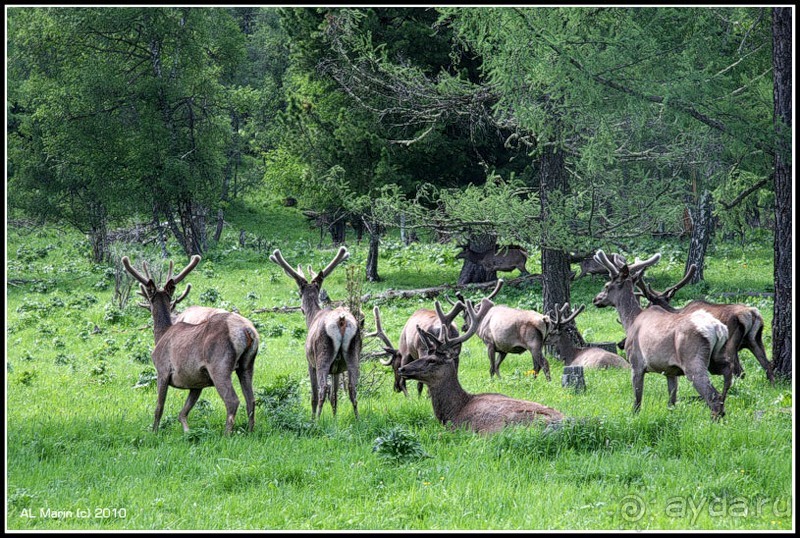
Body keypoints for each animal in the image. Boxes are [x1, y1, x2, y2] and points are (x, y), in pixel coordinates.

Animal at [122, 253, 260, 434]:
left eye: (149, 301)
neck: (161, 335)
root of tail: (247, 331)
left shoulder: (162, 370)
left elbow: (159, 407)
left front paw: (154, 432)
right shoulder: (196, 381)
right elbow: (183, 413)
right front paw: (188, 432)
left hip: (219, 364)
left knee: (232, 401)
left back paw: (227, 434)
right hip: (247, 364)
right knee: (251, 400)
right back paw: (250, 432)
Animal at [268, 247, 360, 418]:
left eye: (299, 293)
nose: (301, 308)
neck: (312, 317)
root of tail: (341, 321)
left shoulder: (309, 362)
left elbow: (314, 395)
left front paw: (312, 419)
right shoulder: (337, 369)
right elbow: (335, 397)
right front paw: (335, 419)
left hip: (322, 355)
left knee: (323, 389)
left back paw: (317, 419)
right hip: (353, 353)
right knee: (352, 389)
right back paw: (358, 419)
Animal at [592, 249, 736, 416]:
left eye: (607, 285)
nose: (596, 299)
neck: (631, 321)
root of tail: (718, 329)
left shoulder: (636, 362)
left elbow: (637, 400)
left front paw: (634, 416)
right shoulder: (670, 371)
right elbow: (672, 400)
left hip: (693, 360)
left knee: (712, 396)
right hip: (715, 359)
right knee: (727, 376)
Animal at [632, 262, 776, 382]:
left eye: (649, 304)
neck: (677, 312)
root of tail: (751, 314)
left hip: (731, 342)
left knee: (739, 370)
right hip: (755, 339)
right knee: (767, 365)